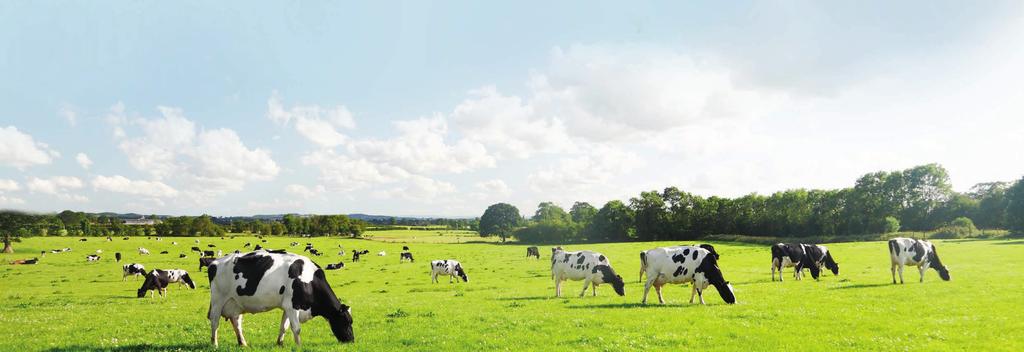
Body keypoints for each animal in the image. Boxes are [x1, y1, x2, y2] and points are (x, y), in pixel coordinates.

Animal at [205, 250, 354, 345]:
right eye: (346, 322)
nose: (351, 341)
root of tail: (214, 262)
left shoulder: (287, 306)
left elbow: (284, 326)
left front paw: (280, 343)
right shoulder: (293, 306)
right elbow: (296, 328)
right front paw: (299, 346)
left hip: (236, 303)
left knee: (236, 322)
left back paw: (243, 343)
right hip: (218, 300)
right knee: (214, 322)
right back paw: (214, 344)